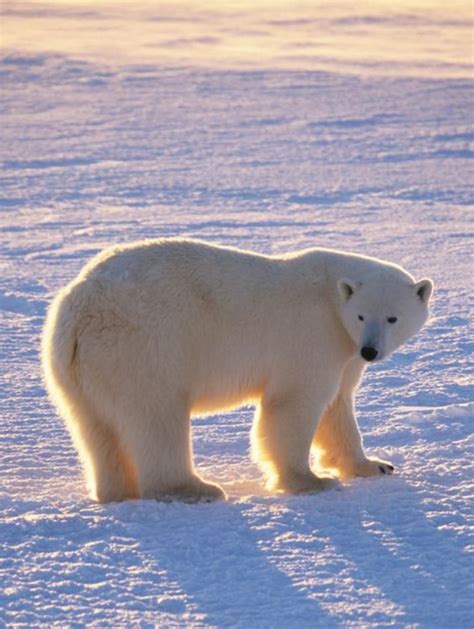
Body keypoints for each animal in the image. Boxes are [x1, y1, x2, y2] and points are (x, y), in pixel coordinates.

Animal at [41, 238, 434, 502]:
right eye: (362, 315)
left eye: (393, 318)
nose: (371, 350)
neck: (332, 300)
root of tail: (79, 309)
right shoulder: (312, 335)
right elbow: (295, 403)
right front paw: (310, 481)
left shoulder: (344, 352)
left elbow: (337, 406)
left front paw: (375, 465)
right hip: (146, 347)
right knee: (157, 417)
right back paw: (195, 488)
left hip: (78, 369)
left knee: (95, 428)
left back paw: (116, 491)